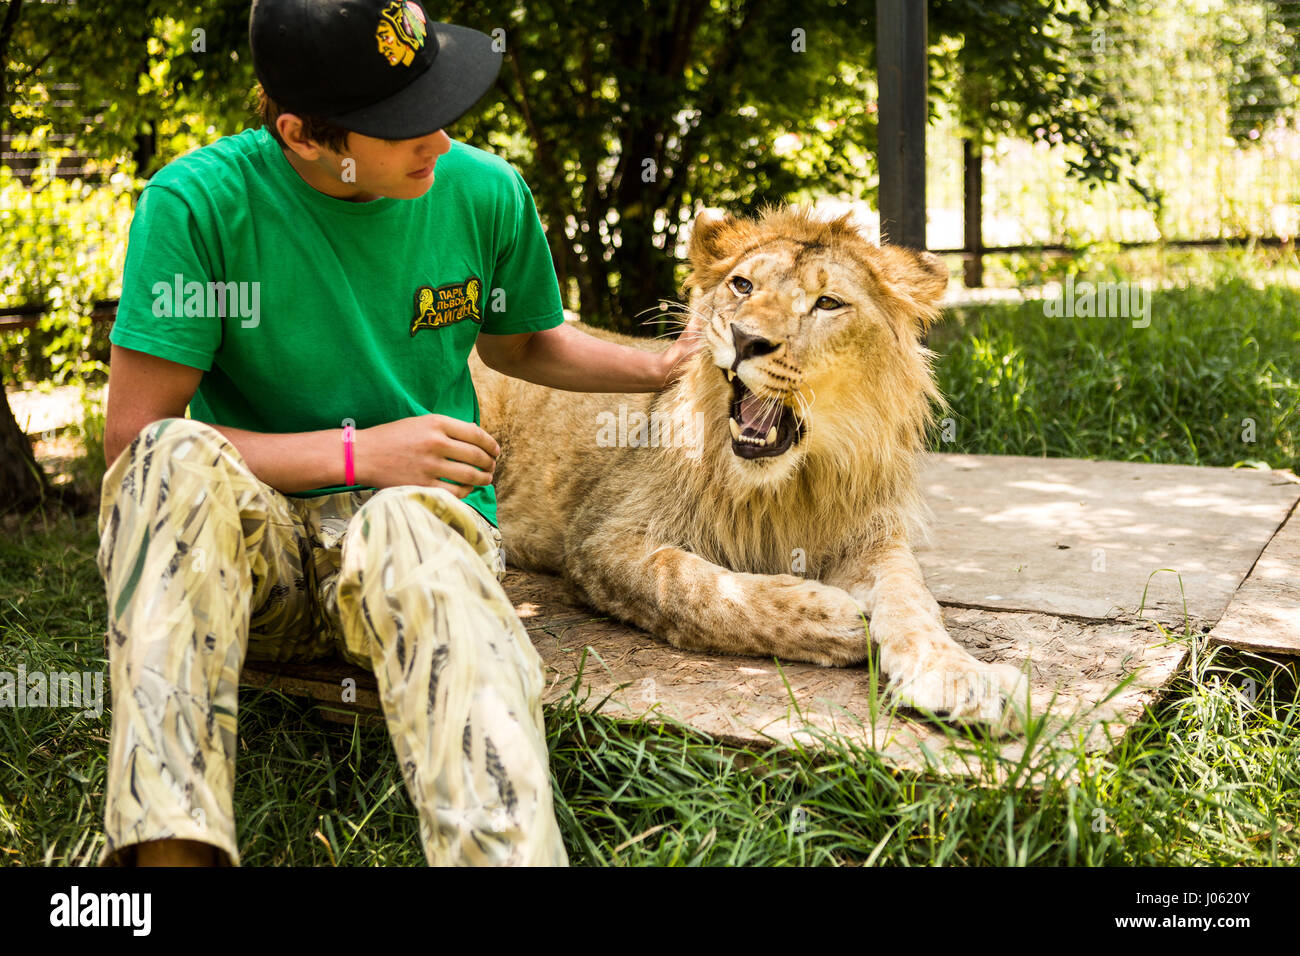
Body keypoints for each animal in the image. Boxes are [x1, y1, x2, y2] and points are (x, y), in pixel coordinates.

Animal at [467, 201, 1024, 723]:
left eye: (827, 303)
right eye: (742, 285)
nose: (743, 338)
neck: (788, 484)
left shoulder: (871, 537)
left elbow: (912, 596)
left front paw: (957, 674)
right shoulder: (599, 537)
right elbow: (693, 586)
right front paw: (833, 616)